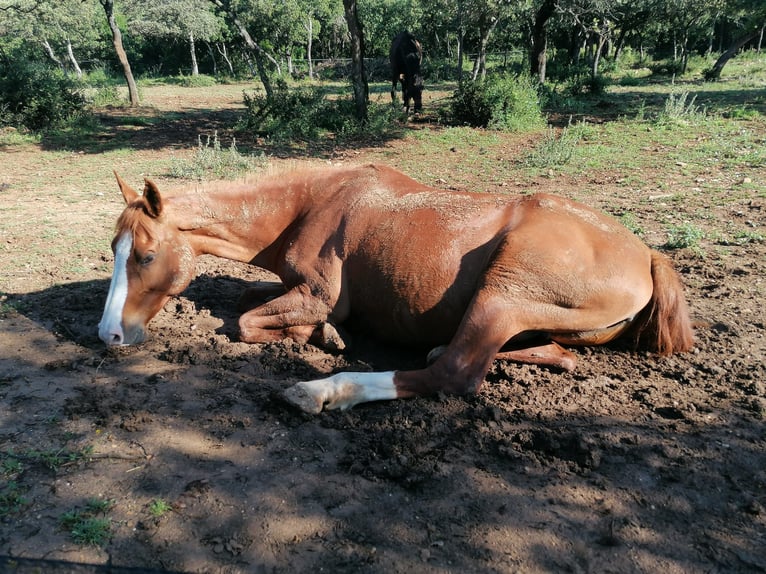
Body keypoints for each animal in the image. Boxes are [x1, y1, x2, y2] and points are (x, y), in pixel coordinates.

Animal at [99, 163, 694, 414]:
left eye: (145, 256)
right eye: (113, 249)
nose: (108, 334)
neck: (309, 204)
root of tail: (648, 255)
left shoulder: (314, 293)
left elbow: (243, 322)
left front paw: (319, 336)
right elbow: (246, 302)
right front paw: (322, 334)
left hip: (502, 295)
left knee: (453, 372)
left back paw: (322, 391)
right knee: (553, 356)